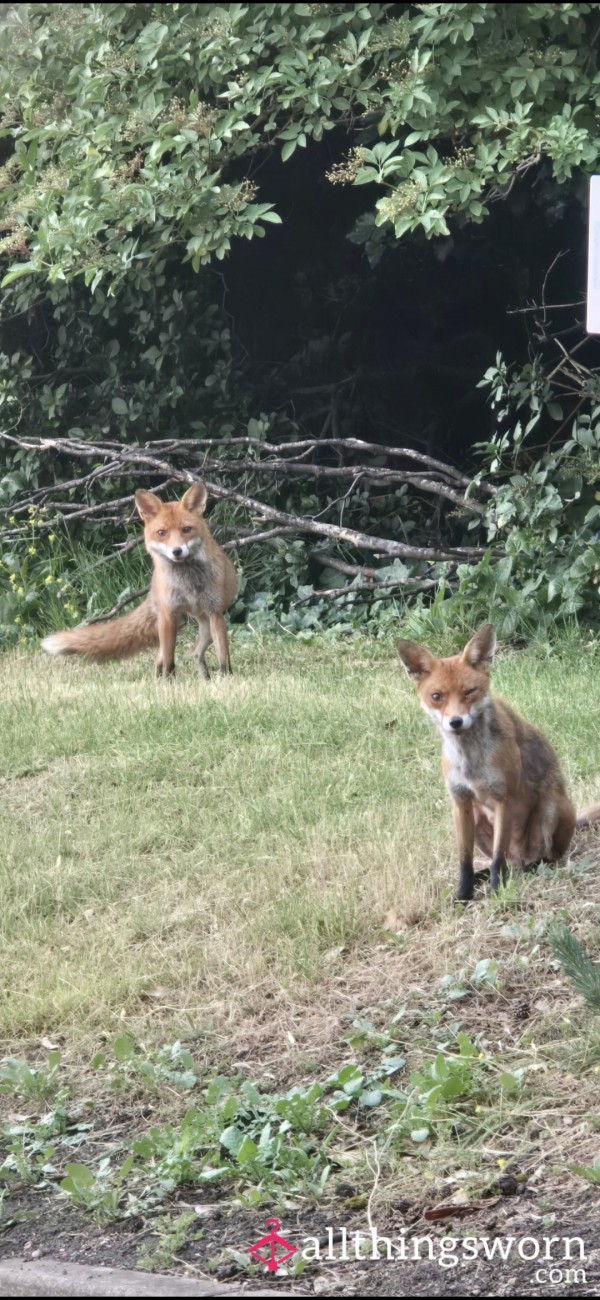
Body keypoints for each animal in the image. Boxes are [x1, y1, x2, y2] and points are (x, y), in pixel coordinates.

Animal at [42, 482, 237, 679]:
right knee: (164, 657)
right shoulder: (168, 615)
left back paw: (204, 677)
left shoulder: (215, 613)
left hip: (205, 626)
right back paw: (162, 679)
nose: (176, 551)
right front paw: (169, 681)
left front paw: (225, 678)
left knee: (195, 652)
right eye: (162, 533)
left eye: (187, 530)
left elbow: (223, 655)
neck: (187, 583)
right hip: (171, 623)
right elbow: (169, 660)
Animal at [397, 624, 600, 901]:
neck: (470, 760)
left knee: (541, 859)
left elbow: (496, 859)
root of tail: (521, 858)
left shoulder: (504, 799)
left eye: (469, 692)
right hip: (478, 819)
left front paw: (496, 891)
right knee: (508, 863)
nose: (456, 722)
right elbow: (465, 861)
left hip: (550, 808)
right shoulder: (460, 802)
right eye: (436, 696)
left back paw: (529, 869)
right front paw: (464, 894)